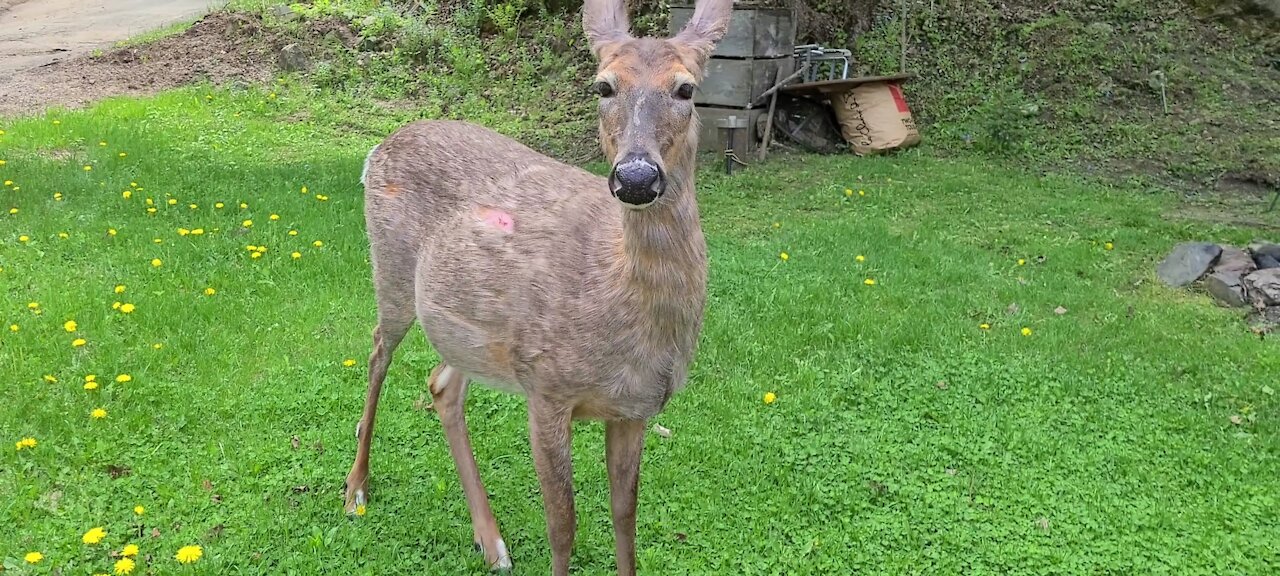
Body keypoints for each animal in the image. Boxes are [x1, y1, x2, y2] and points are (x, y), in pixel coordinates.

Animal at [340, 1, 737, 570]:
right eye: (603, 86)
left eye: (685, 88)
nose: (636, 177)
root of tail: (378, 147)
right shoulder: (546, 387)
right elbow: (563, 525)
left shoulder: (635, 408)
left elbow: (625, 519)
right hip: (391, 267)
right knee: (377, 350)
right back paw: (356, 488)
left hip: (475, 329)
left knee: (442, 384)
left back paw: (491, 542)